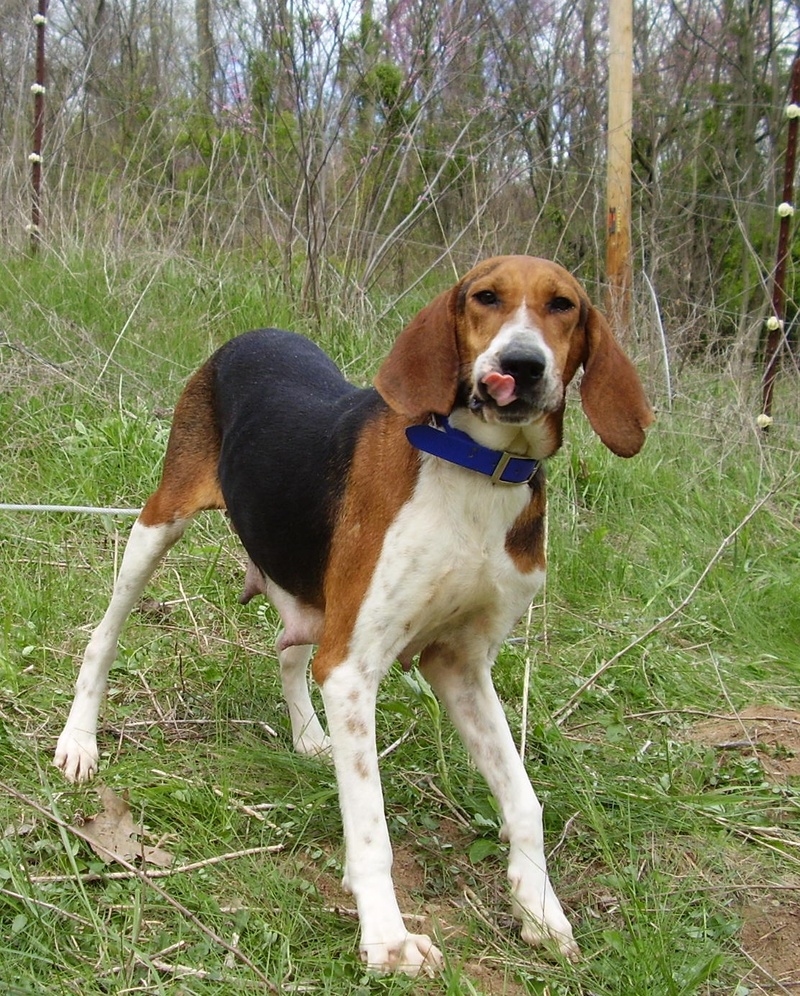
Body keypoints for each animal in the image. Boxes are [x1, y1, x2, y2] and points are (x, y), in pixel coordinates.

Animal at [56, 255, 656, 972]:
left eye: (563, 305)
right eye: (485, 297)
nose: (522, 363)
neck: (480, 471)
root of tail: (253, 334)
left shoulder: (459, 663)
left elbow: (523, 800)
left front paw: (540, 908)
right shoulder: (354, 667)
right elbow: (371, 828)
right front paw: (388, 938)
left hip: (312, 597)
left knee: (288, 653)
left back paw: (310, 737)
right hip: (159, 523)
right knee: (105, 635)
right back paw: (78, 743)